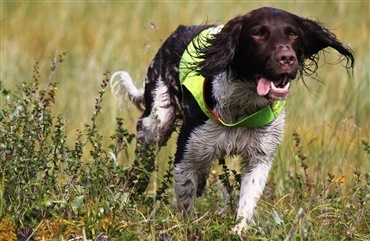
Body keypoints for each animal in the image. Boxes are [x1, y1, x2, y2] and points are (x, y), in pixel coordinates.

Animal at [111, 7, 354, 233]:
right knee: (143, 150)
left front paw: (237, 231)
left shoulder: (260, 158)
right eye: (258, 33)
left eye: (293, 34)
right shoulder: (187, 155)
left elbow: (246, 205)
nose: (287, 58)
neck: (242, 107)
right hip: (157, 121)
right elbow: (185, 201)